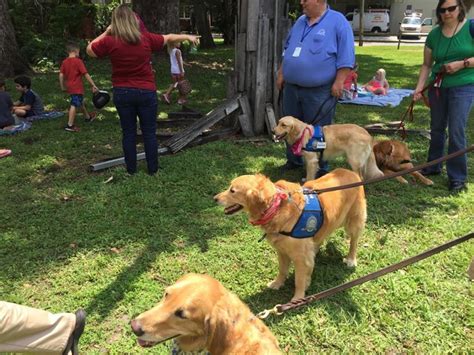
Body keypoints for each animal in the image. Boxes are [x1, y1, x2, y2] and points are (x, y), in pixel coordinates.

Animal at [215, 168, 366, 302]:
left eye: (232, 190)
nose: (215, 198)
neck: (275, 207)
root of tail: (352, 172)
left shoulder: (300, 257)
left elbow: (299, 280)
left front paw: (298, 298)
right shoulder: (281, 250)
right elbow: (282, 270)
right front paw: (277, 283)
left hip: (354, 221)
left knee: (354, 242)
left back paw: (351, 259)